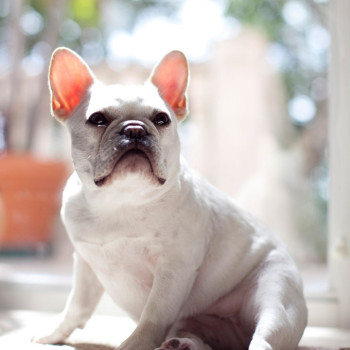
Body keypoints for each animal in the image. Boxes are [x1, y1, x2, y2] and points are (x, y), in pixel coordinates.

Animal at [34, 47, 306, 350]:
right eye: (98, 119)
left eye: (161, 119)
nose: (135, 128)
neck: (123, 199)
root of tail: (237, 335)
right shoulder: (86, 264)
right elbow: (77, 305)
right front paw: (54, 332)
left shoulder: (174, 268)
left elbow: (153, 314)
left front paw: (134, 344)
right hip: (195, 322)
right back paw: (183, 344)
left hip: (275, 296)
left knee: (264, 337)